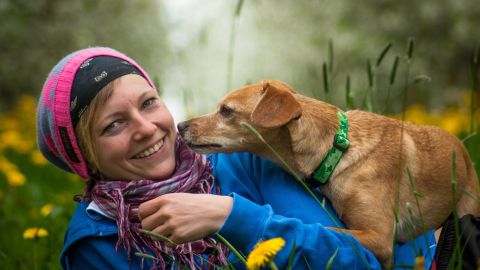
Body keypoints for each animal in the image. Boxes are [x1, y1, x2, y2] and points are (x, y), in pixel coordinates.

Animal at [177, 79, 480, 264]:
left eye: (226, 111)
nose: (180, 125)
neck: (337, 150)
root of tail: (464, 153)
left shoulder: (378, 237)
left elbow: (324, 228)